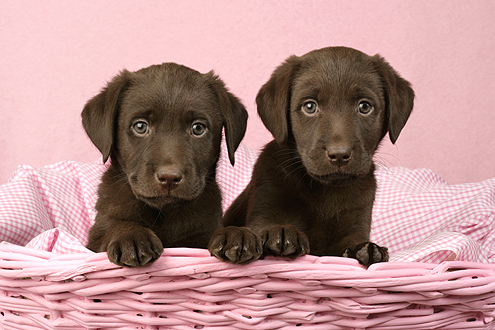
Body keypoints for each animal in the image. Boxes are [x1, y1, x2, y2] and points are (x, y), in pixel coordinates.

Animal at [84, 62, 252, 268]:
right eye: (140, 126)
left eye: (198, 128)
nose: (169, 177)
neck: (163, 213)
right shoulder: (94, 240)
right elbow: (116, 226)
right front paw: (131, 236)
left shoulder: (201, 235)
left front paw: (235, 233)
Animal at [209, 46, 414, 266]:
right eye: (310, 106)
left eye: (365, 107)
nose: (339, 154)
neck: (324, 191)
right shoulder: (264, 206)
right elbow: (263, 228)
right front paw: (280, 232)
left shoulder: (355, 220)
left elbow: (353, 240)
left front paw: (368, 248)